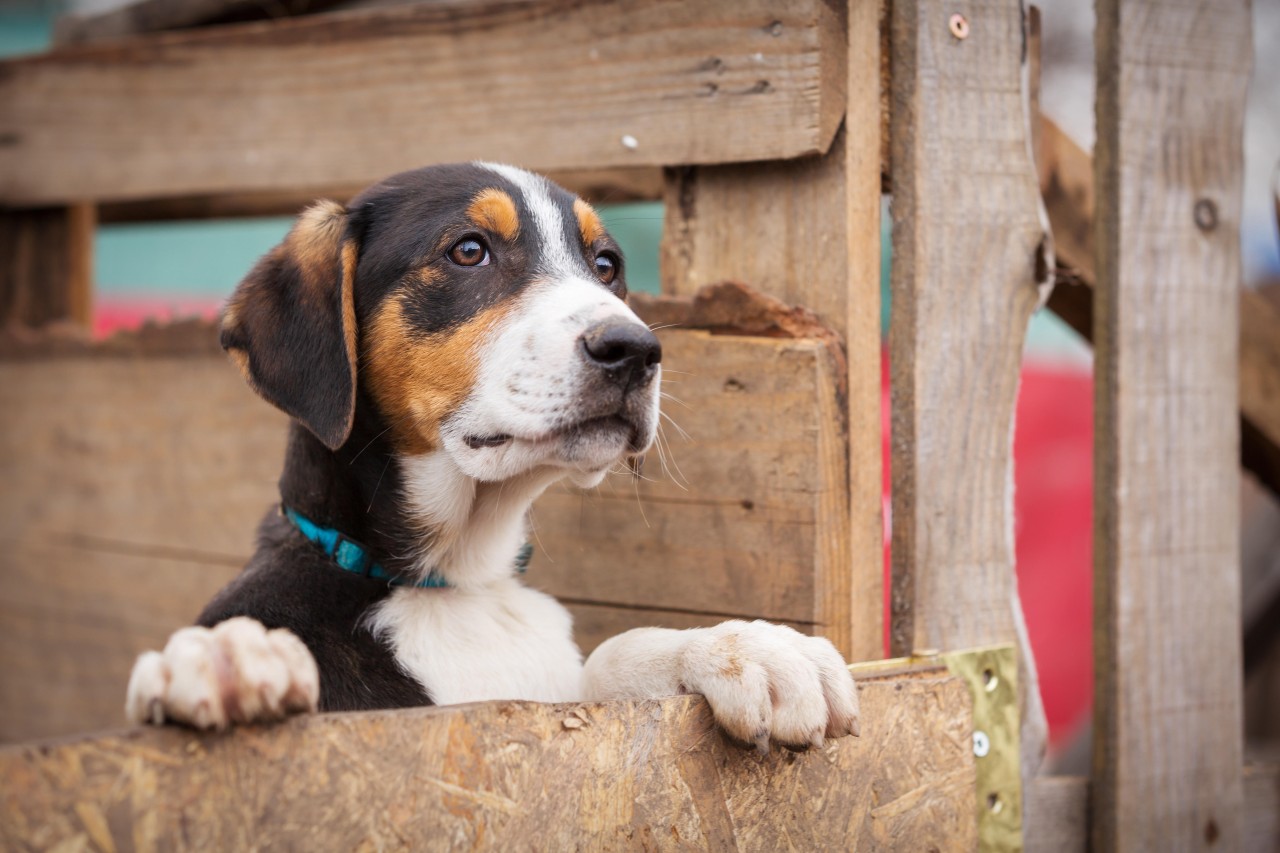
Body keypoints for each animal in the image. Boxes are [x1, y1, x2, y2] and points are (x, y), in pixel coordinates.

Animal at [124, 162, 860, 747]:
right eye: (469, 251)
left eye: (606, 266)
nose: (636, 350)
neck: (457, 582)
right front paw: (226, 659)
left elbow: (610, 654)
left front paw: (748, 647)